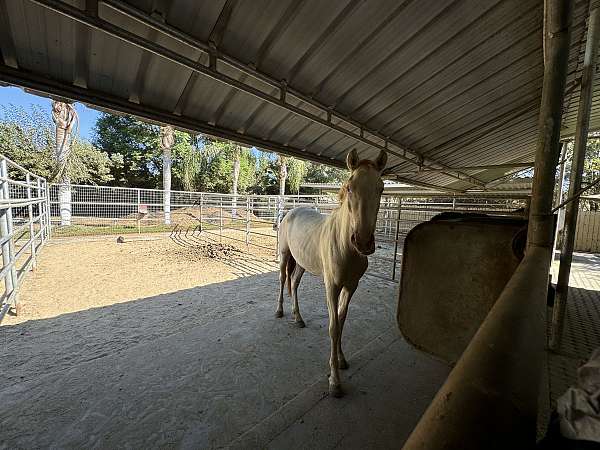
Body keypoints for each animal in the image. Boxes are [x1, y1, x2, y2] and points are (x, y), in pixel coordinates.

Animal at [278, 149, 390, 398]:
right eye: (349, 187)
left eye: (381, 188)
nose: (363, 242)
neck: (345, 246)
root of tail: (291, 211)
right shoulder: (332, 286)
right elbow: (333, 327)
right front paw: (335, 382)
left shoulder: (351, 286)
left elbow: (341, 321)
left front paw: (341, 360)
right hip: (284, 256)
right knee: (282, 280)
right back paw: (279, 311)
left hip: (302, 263)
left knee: (294, 284)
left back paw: (298, 318)